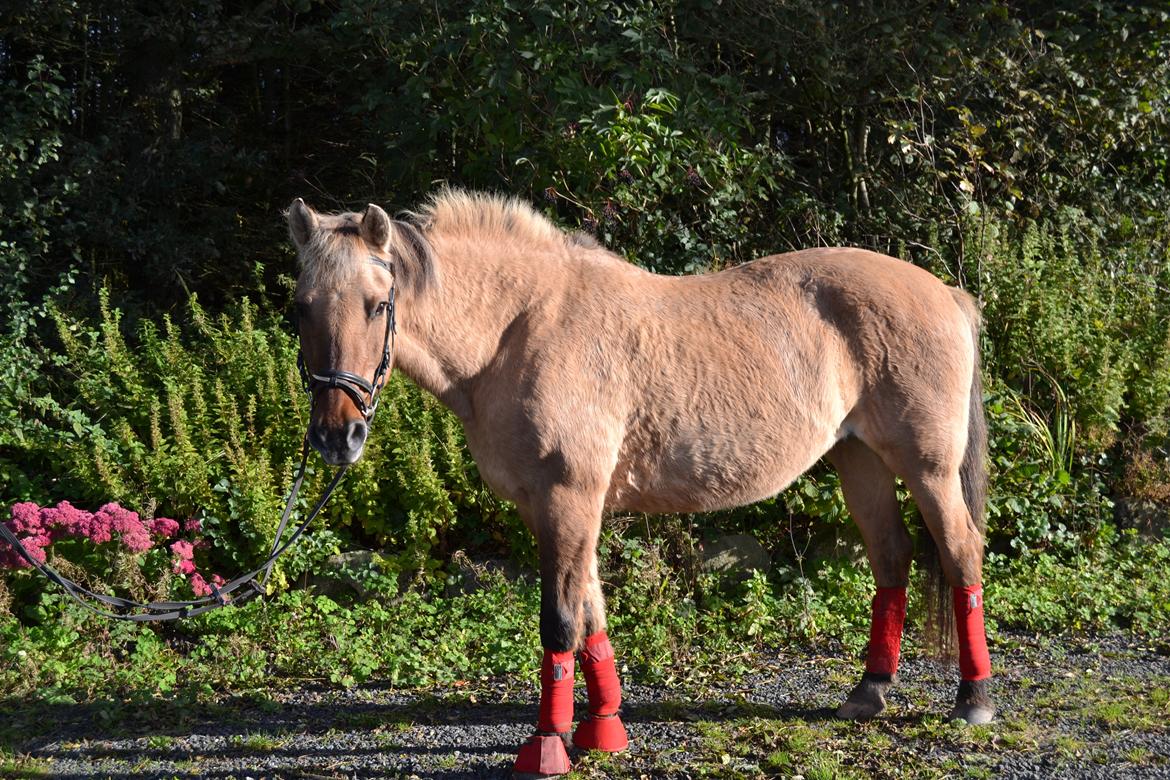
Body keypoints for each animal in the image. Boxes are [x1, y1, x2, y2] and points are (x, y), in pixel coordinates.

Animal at [285, 190, 996, 780]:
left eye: (379, 304)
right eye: (300, 309)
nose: (336, 437)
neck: (520, 329)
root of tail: (949, 295)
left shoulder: (568, 497)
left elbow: (559, 621)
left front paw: (548, 747)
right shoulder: (559, 506)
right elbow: (590, 615)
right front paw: (602, 731)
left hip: (928, 468)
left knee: (961, 553)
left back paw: (974, 698)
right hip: (860, 460)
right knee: (892, 559)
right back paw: (869, 691)